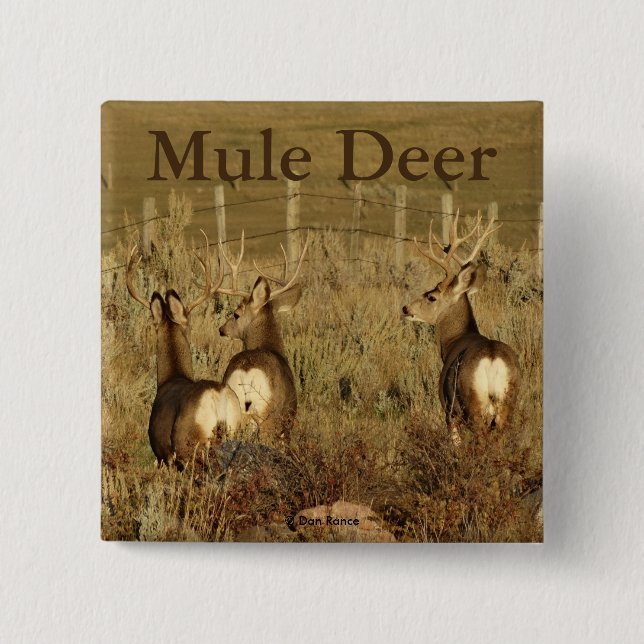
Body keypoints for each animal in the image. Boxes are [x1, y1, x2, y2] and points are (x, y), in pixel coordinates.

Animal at [213, 231, 310, 445]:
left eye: (236, 314)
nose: (222, 329)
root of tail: (247, 372)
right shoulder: (288, 418)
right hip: (269, 415)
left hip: (233, 417)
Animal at [402, 211, 520, 445]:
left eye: (431, 297)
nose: (406, 308)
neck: (454, 340)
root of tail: (492, 357)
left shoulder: (447, 409)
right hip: (507, 403)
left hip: (472, 402)